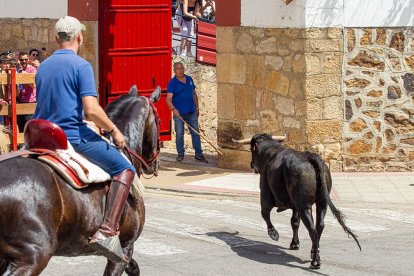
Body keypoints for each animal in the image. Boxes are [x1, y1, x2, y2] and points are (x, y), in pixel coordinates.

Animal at [243, 135, 360, 268]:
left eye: (251, 150)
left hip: (303, 206)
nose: (251, 164)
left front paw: (274, 234)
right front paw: (294, 243)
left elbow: (265, 214)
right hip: (321, 203)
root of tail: (311, 157)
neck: (270, 152)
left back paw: (316, 261)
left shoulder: (265, 195)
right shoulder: (296, 206)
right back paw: (314, 251)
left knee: (312, 229)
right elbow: (294, 222)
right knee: (319, 226)